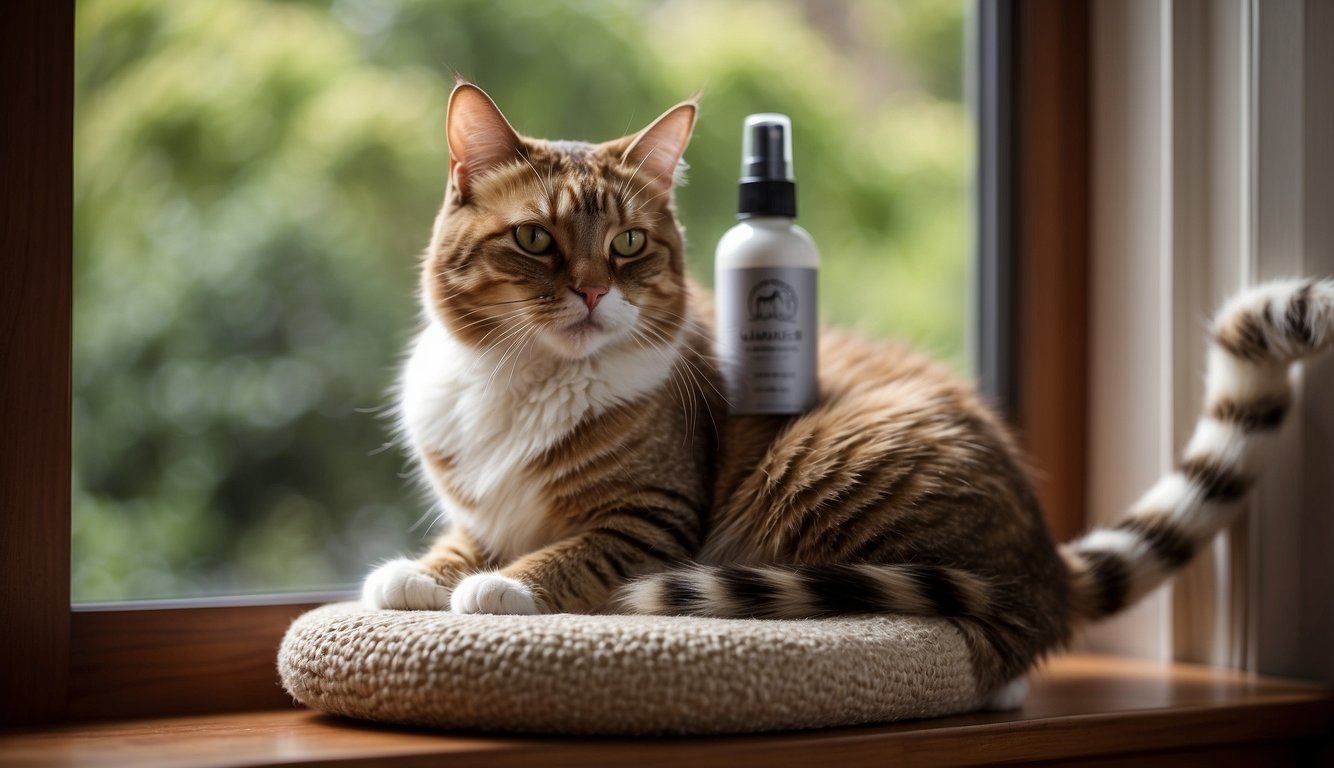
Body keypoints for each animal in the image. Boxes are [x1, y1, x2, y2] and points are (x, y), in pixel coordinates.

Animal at [360, 82, 1328, 704]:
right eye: (535, 239)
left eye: (629, 244)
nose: (596, 292)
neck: (525, 378)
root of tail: (1045, 564)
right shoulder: (479, 504)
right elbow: (457, 543)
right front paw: (416, 576)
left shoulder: (649, 521)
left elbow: (562, 555)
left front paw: (496, 590)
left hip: (819, 474)